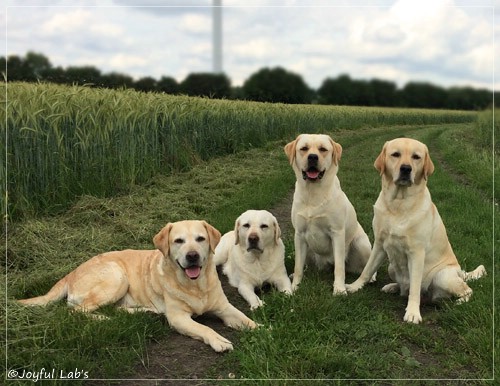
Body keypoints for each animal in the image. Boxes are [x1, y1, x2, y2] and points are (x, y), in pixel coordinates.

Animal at [18, 219, 258, 352]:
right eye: (178, 241)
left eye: (200, 239)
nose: (192, 256)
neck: (195, 285)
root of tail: (71, 272)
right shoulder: (178, 318)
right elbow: (204, 328)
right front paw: (219, 340)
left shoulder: (224, 308)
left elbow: (246, 319)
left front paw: (261, 330)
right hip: (116, 276)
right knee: (77, 310)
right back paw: (104, 319)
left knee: (116, 309)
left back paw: (144, 312)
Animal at [284, 134, 374, 294]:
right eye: (304, 148)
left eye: (323, 149)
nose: (312, 157)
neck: (313, 193)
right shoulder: (299, 234)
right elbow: (298, 265)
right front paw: (294, 286)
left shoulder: (337, 233)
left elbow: (339, 267)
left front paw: (339, 289)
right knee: (305, 265)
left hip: (360, 243)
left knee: (367, 265)